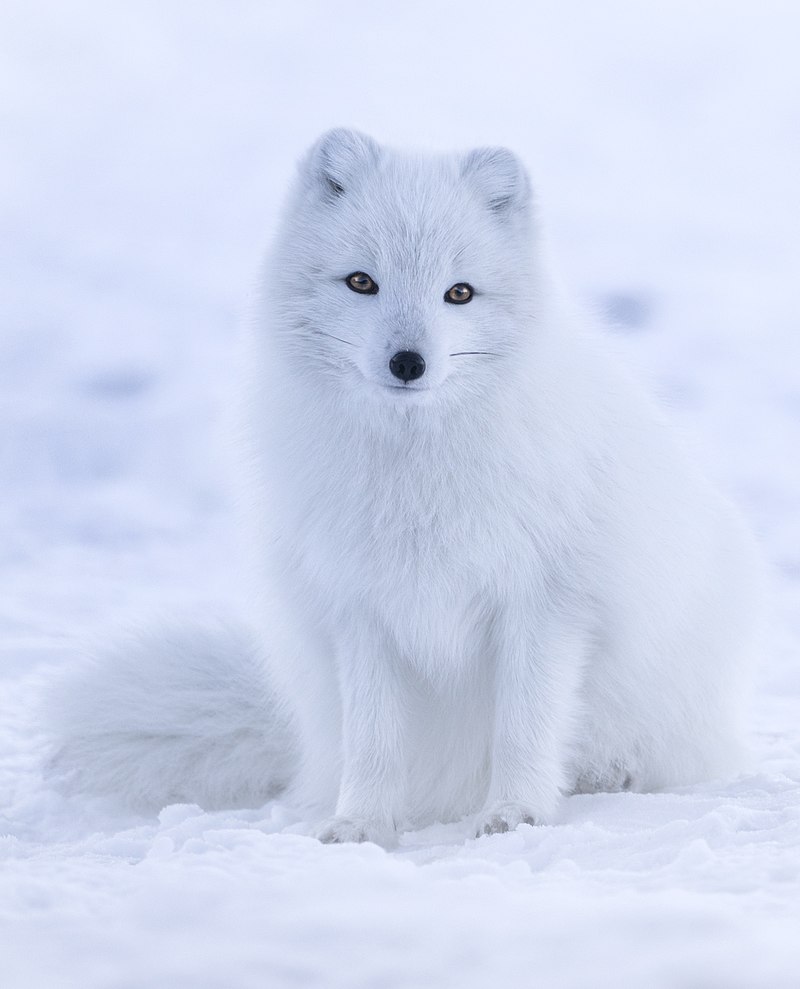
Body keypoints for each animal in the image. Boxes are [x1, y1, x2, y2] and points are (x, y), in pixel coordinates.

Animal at [47, 129, 760, 840]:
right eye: (362, 281)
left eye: (460, 293)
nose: (408, 362)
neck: (415, 473)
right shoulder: (361, 607)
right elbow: (374, 739)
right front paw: (361, 824)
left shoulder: (545, 603)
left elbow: (524, 726)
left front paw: (515, 814)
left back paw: (610, 774)